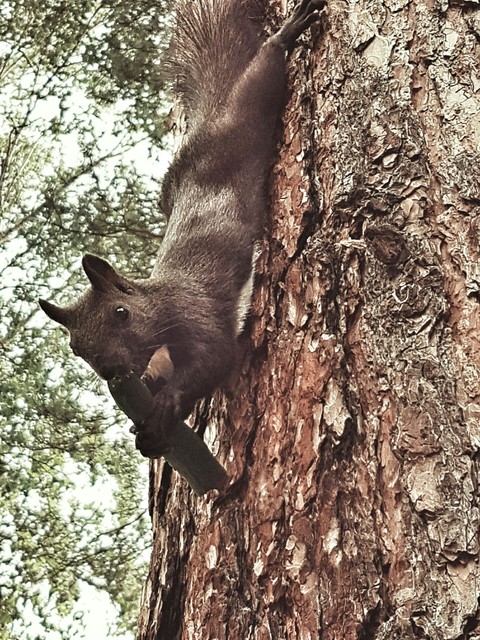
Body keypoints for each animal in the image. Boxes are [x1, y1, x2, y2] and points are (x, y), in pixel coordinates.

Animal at [39, 0, 325, 457]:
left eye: (121, 313)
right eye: (76, 348)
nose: (111, 368)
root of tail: (205, 124)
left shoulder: (195, 313)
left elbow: (214, 358)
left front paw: (166, 406)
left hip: (242, 119)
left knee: (259, 78)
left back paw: (286, 35)